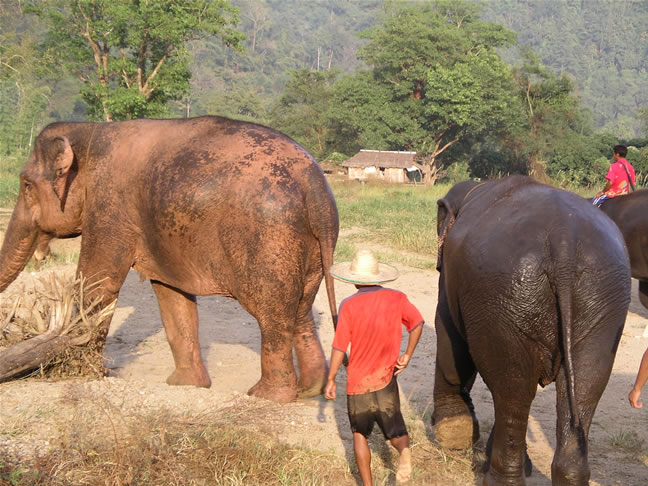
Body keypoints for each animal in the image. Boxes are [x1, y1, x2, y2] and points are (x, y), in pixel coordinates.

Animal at [0, 115, 339, 403]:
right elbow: (171, 294)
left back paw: (266, 395)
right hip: (313, 247)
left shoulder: (110, 206)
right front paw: (185, 385)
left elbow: (98, 284)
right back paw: (309, 390)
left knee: (272, 314)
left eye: (26, 185)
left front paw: (82, 372)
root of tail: (314, 184)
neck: (90, 130)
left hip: (269, 239)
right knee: (302, 310)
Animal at [433, 176, 630, 485]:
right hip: (605, 297)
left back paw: (501, 479)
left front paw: (452, 436)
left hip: (503, 295)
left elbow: (450, 338)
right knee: (586, 383)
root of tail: (564, 238)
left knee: (513, 391)